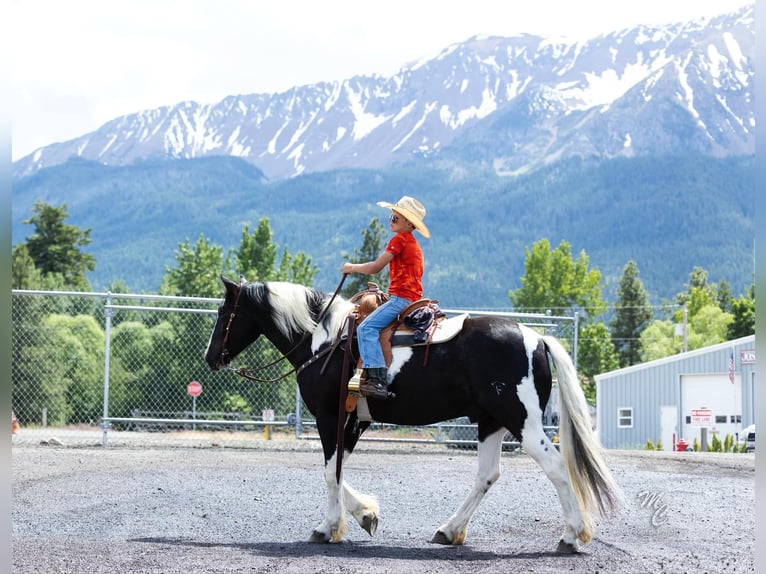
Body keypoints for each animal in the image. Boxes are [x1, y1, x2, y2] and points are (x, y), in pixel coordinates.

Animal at [204, 276, 622, 552]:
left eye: (225, 311)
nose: (210, 357)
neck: (326, 341)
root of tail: (537, 339)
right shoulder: (355, 422)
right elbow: (338, 471)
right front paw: (365, 516)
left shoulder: (330, 417)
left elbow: (329, 472)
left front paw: (327, 529)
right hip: (491, 423)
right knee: (487, 475)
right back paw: (449, 531)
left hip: (524, 423)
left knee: (556, 466)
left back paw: (571, 535)